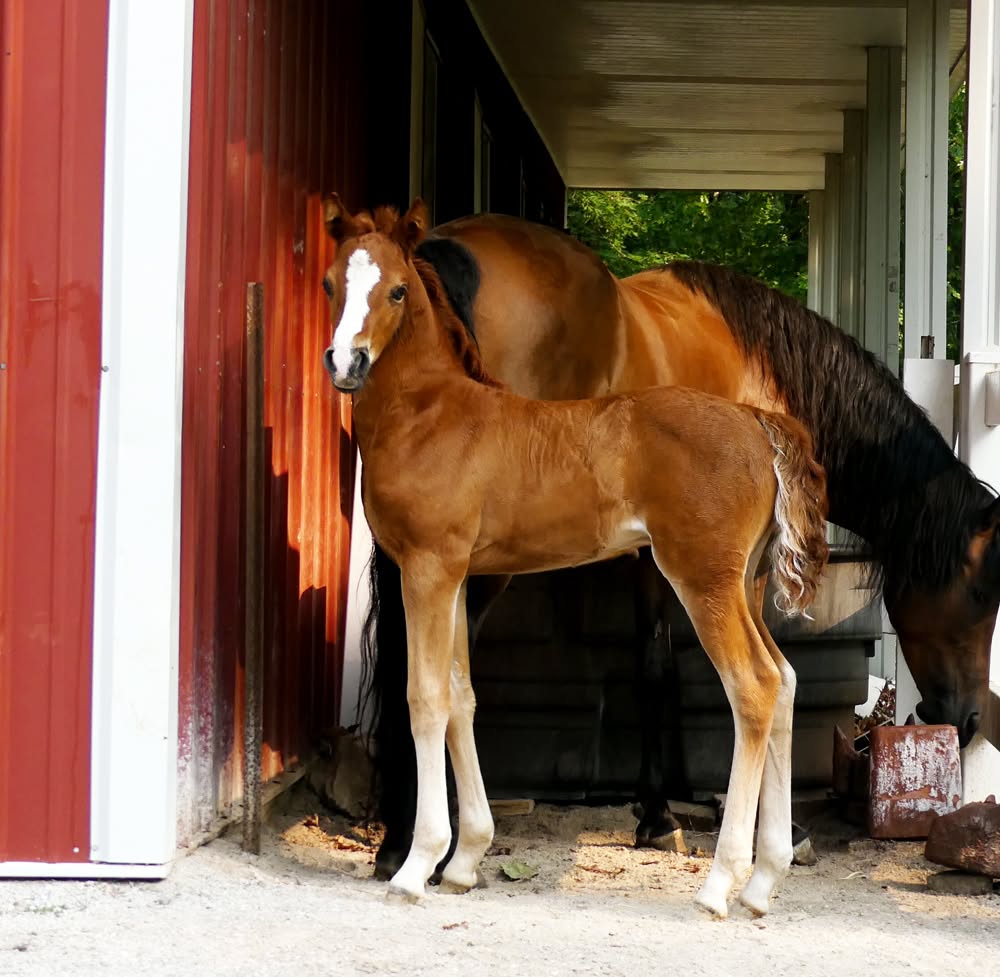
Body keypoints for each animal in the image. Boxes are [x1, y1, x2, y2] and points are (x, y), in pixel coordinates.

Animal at [321, 196, 830, 918]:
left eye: (395, 289)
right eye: (331, 282)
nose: (346, 364)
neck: (433, 412)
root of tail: (757, 421)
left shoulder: (427, 569)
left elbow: (426, 698)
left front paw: (417, 866)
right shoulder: (456, 575)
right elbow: (462, 697)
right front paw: (465, 860)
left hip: (702, 578)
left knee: (754, 687)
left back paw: (719, 885)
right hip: (745, 585)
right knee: (783, 681)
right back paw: (763, 882)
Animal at [359, 207, 1000, 879]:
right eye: (982, 592)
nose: (967, 718)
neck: (763, 368)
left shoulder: (652, 555)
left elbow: (655, 666)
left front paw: (657, 811)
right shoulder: (718, 564)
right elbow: (722, 675)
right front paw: (740, 824)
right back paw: (413, 839)